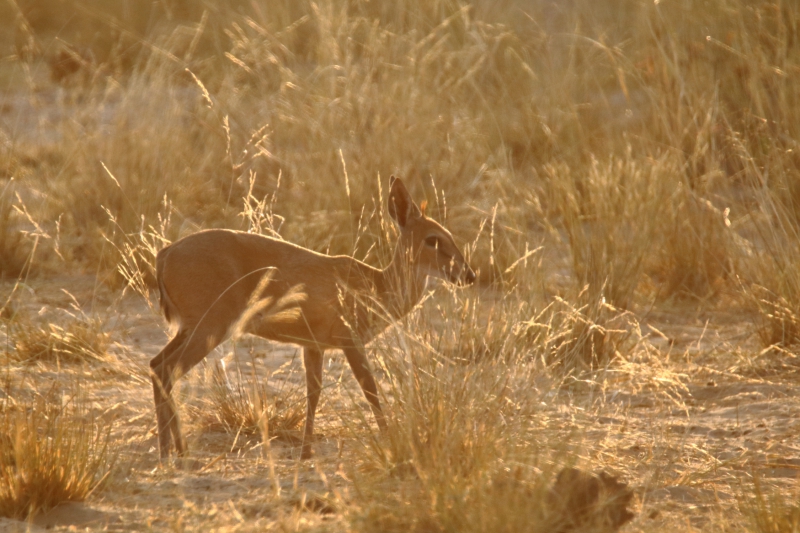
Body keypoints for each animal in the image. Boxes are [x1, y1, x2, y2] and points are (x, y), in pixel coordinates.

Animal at [151, 177, 476, 460]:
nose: (468, 274)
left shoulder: (313, 344)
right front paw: (389, 439)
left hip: (191, 326)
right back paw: (173, 451)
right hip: (210, 324)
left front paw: (306, 452)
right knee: (167, 369)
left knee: (156, 364)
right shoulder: (349, 337)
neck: (377, 287)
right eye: (433, 239)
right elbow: (369, 389)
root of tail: (163, 255)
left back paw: (172, 449)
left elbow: (314, 393)